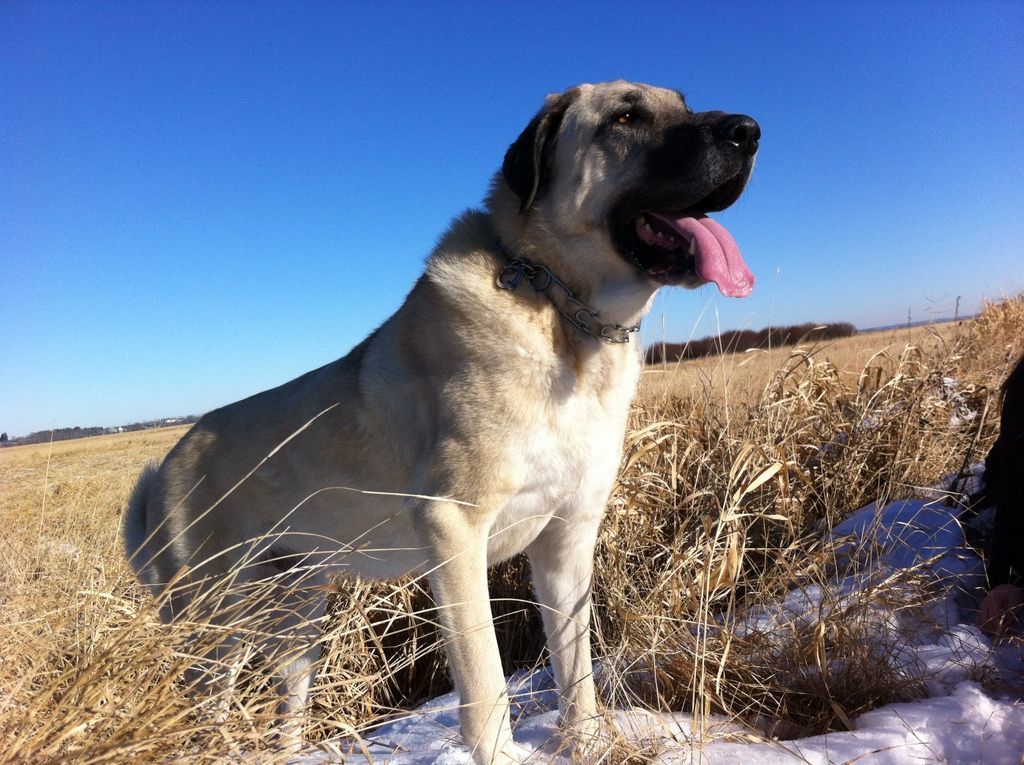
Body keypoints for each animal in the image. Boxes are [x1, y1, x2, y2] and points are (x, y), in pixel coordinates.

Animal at [121, 80, 761, 761]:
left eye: (683, 103)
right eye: (625, 116)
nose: (748, 131)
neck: (561, 311)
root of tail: (166, 469)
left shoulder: (567, 537)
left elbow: (576, 671)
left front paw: (586, 744)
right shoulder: (454, 529)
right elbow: (485, 682)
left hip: (295, 616)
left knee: (285, 706)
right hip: (216, 625)